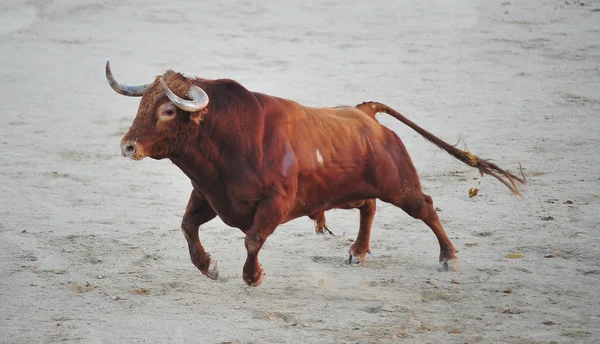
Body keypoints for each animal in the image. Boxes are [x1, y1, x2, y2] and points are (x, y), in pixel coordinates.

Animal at [108, 59, 524, 288]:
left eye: (167, 111)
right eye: (142, 104)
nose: (128, 146)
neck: (227, 136)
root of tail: (366, 114)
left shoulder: (275, 203)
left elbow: (252, 241)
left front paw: (252, 276)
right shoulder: (208, 194)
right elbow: (187, 227)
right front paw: (209, 266)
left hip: (398, 184)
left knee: (425, 206)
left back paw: (448, 257)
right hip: (346, 190)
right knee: (369, 206)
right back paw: (357, 252)